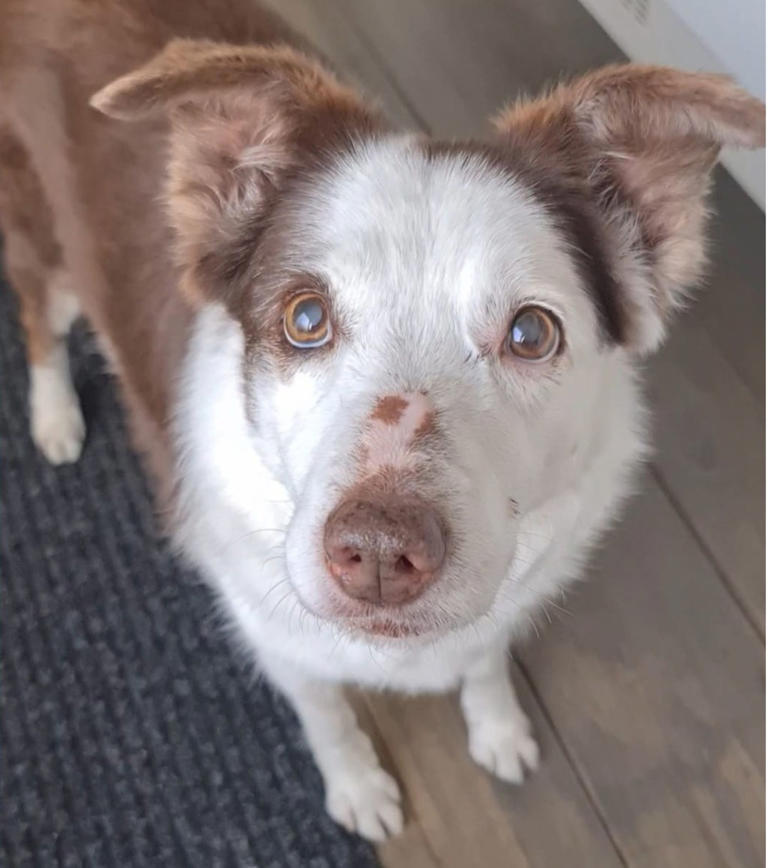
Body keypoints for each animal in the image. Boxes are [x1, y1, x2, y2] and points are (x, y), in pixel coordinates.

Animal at [3, 0, 764, 844]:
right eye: (305, 318)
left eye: (531, 333)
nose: (375, 553)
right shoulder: (280, 646)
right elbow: (329, 718)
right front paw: (358, 787)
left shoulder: (505, 591)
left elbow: (486, 660)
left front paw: (498, 728)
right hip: (43, 244)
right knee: (37, 321)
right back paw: (55, 418)